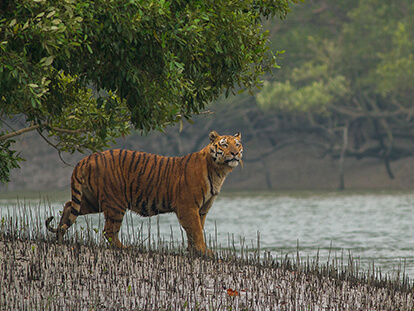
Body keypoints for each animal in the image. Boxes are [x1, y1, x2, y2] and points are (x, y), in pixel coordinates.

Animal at [47, 130, 243, 255]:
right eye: (224, 145)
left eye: (237, 144)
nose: (234, 153)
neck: (219, 171)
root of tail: (87, 158)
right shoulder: (188, 207)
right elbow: (196, 231)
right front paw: (203, 251)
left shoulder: (202, 209)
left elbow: (196, 231)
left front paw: (195, 251)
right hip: (115, 202)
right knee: (109, 231)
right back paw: (125, 248)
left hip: (92, 200)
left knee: (69, 206)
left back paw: (59, 237)